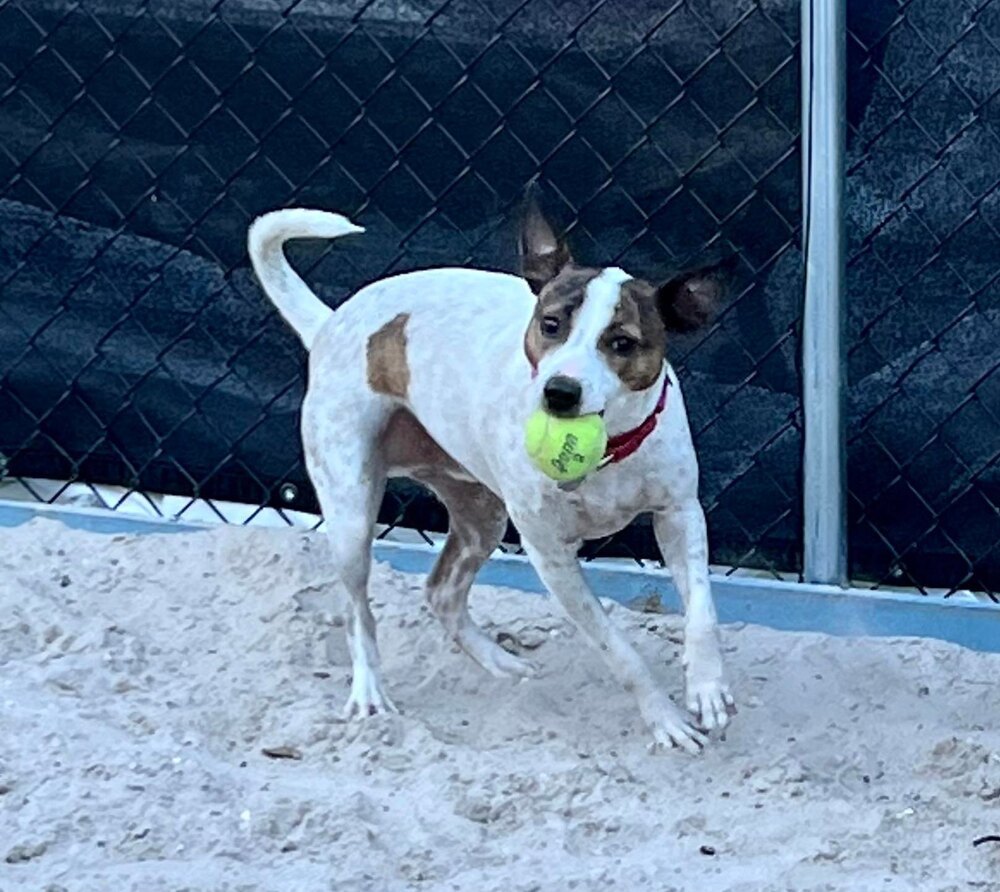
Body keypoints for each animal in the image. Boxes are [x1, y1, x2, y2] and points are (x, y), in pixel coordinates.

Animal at [248, 193, 736, 752]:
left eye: (622, 343)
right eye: (551, 324)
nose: (560, 392)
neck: (609, 452)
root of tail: (331, 323)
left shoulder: (679, 514)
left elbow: (702, 611)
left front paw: (706, 687)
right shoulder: (552, 557)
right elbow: (619, 651)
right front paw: (664, 719)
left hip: (482, 515)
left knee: (441, 592)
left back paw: (502, 663)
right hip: (351, 512)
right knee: (358, 610)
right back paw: (370, 692)